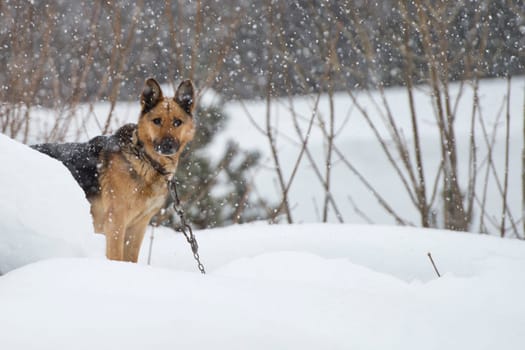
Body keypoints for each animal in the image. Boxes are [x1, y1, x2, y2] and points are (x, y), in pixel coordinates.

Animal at [32, 78, 196, 262]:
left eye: (177, 122)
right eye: (157, 121)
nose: (167, 146)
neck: (145, 160)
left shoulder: (138, 227)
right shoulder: (116, 222)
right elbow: (116, 256)